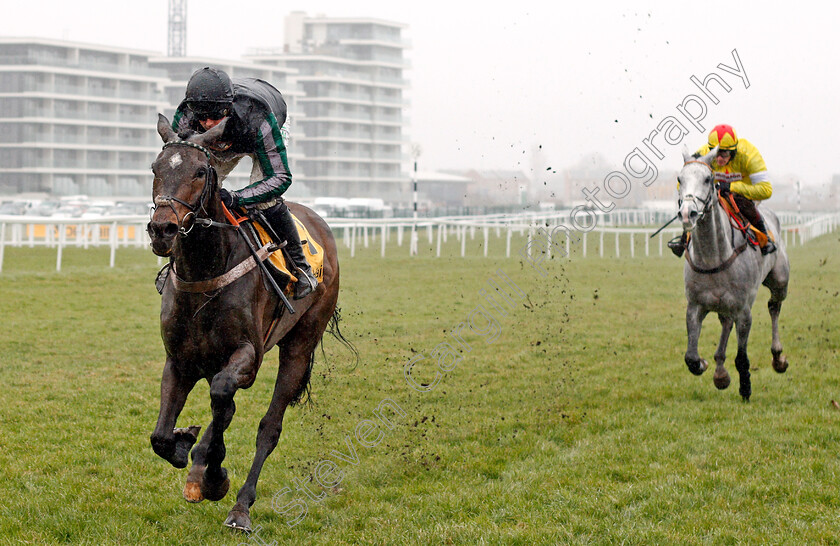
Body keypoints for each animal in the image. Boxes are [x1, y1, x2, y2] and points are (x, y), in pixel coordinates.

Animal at [147, 113, 342, 528]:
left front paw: (212, 474)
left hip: (300, 344)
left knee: (268, 427)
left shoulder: (248, 356)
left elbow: (223, 396)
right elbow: (161, 436)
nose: (162, 229)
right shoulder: (179, 361)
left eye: (200, 171)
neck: (207, 269)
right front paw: (184, 445)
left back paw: (240, 506)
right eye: (155, 168)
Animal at [676, 144, 788, 400]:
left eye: (708, 179)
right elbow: (691, 357)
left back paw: (778, 357)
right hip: (722, 303)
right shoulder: (695, 306)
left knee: (774, 307)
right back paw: (720, 371)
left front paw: (745, 388)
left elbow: (742, 358)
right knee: (726, 323)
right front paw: (706, 365)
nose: (688, 214)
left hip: (780, 281)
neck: (713, 256)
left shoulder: (743, 310)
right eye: (680, 179)